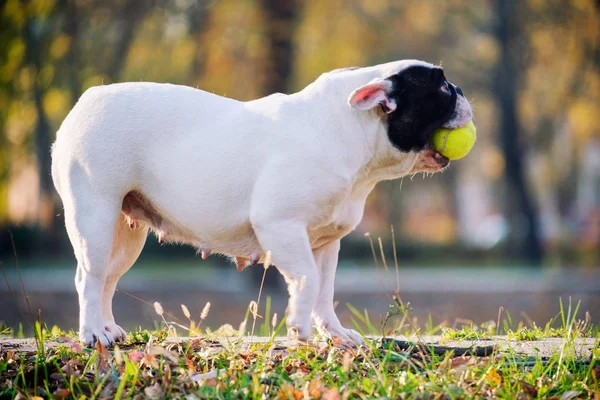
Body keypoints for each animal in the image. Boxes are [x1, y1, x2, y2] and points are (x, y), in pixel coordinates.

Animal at [51, 59, 472, 346]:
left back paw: (108, 328)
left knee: (107, 278)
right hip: (95, 216)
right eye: (442, 89)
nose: (462, 90)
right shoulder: (281, 225)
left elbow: (325, 289)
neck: (354, 134)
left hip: (125, 234)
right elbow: (307, 278)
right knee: (89, 276)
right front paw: (299, 326)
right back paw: (92, 333)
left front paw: (334, 333)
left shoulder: (326, 241)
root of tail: (88, 98)